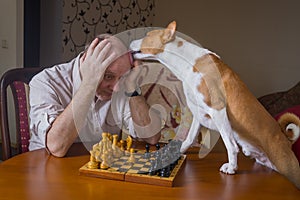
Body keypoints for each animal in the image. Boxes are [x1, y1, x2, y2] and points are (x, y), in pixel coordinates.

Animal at [130, 21, 300, 188]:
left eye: (147, 35)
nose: (131, 41)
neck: (189, 63)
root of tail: (286, 139)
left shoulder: (217, 109)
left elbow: (231, 145)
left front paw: (232, 167)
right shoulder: (199, 113)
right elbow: (190, 137)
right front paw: (178, 151)